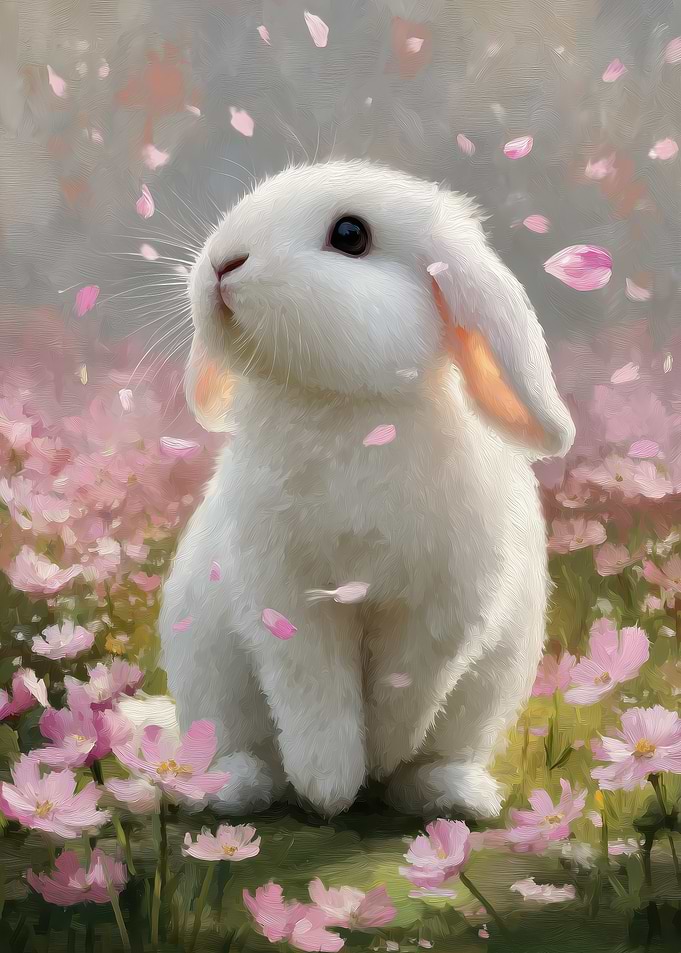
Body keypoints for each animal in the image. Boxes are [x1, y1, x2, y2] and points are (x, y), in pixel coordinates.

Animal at [159, 159, 575, 820]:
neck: (347, 410)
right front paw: (329, 787)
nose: (223, 263)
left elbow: (405, 689)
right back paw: (229, 788)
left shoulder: (442, 608)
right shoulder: (286, 598)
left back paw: (451, 794)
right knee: (236, 747)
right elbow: (315, 692)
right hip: (207, 685)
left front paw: (377, 761)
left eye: (350, 235)